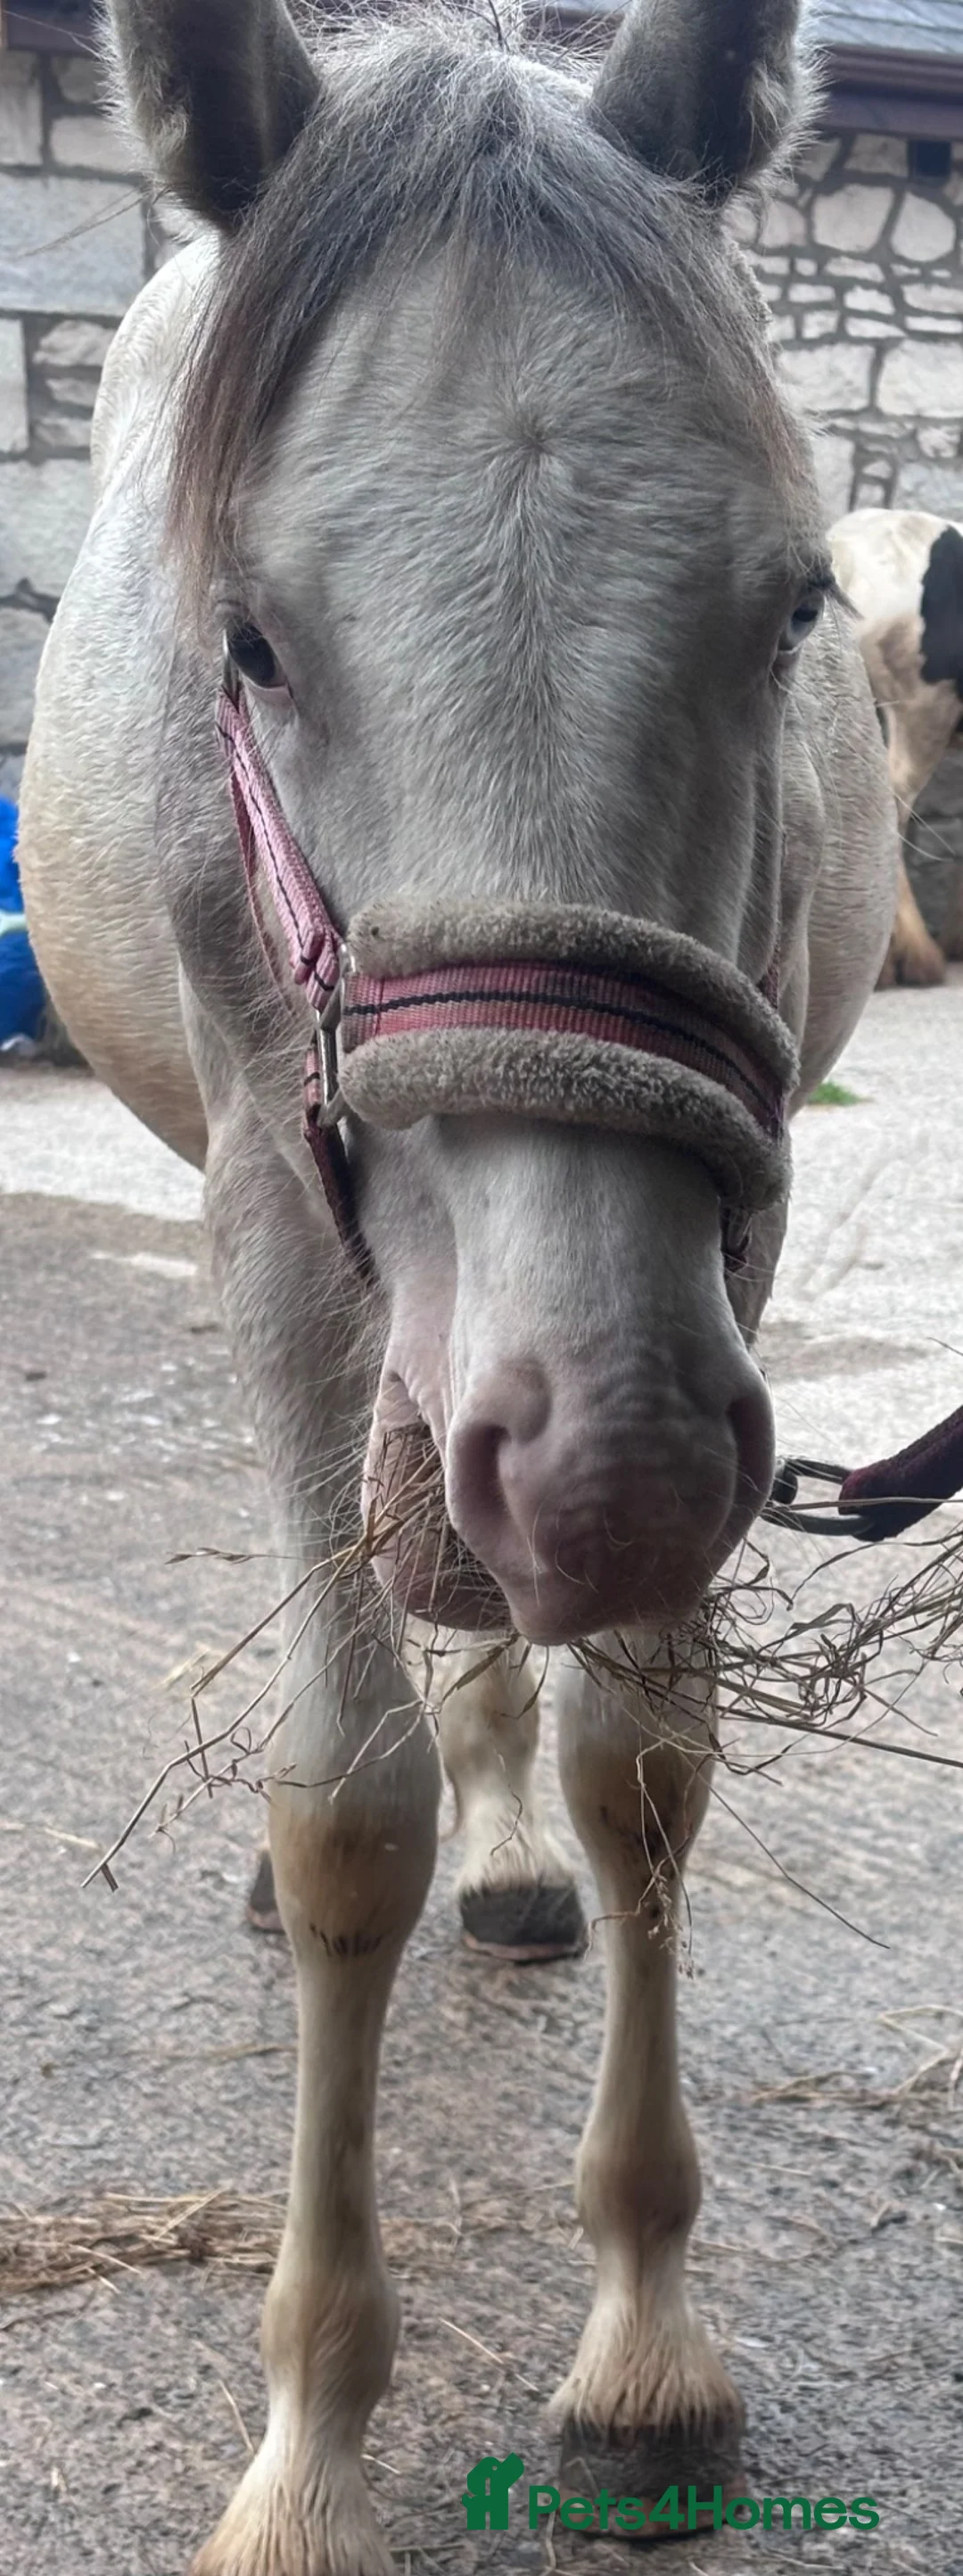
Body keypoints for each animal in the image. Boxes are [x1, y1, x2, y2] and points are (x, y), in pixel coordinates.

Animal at [18, 2, 898, 2566]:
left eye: (792, 606)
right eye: (251, 636)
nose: (602, 1466)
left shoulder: (720, 1254)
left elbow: (644, 1756)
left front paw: (645, 2341)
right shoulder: (276, 1228)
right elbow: (347, 1804)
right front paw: (311, 2434)